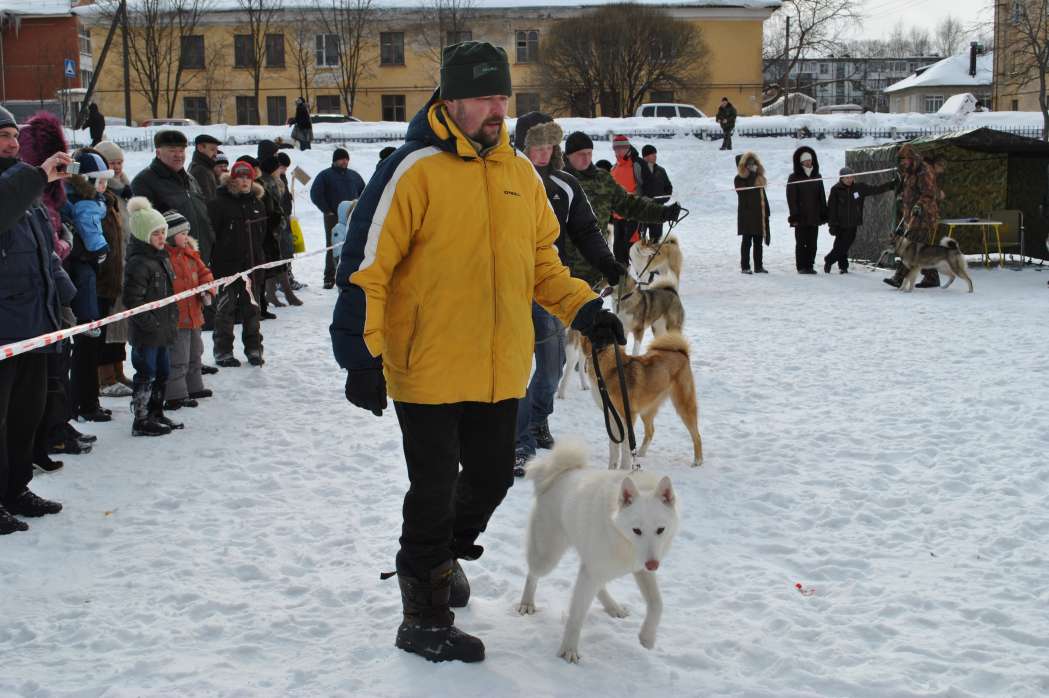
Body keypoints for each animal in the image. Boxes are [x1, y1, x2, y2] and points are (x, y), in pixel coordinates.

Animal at [516, 442, 679, 664]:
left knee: (598, 584)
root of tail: (557, 472)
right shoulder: (596, 571)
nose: (653, 565)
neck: (621, 537)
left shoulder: (640, 568)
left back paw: (613, 607)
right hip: (548, 556)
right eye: (637, 530)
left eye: (660, 530)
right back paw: (527, 603)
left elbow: (657, 603)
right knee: (533, 574)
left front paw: (647, 638)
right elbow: (576, 615)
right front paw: (568, 650)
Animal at [584, 333, 703, 470]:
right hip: (647, 411)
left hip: (684, 405)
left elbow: (625, 445)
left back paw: (698, 461)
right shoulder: (611, 416)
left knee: (697, 436)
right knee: (651, 431)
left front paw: (624, 469)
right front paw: (611, 469)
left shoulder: (627, 415)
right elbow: (613, 446)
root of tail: (682, 353)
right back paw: (640, 453)